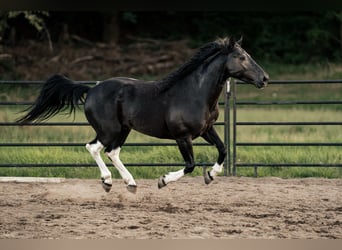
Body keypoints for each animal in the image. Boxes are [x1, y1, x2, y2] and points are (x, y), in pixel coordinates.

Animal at [18, 37, 268, 193]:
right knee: (94, 147)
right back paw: (107, 181)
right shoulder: (182, 137)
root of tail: (91, 90)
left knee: (112, 152)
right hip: (109, 130)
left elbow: (223, 149)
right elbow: (190, 164)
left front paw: (212, 176)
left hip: (123, 130)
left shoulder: (207, 129)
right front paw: (163, 180)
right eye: (241, 57)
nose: (264, 78)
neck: (195, 92)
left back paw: (130, 183)